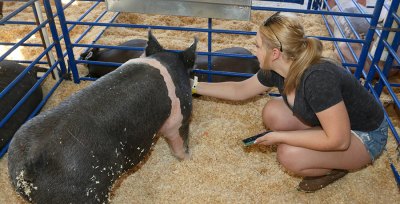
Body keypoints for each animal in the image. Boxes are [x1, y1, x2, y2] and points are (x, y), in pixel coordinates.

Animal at [7, 30, 198, 204]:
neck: (164, 61)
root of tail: (30, 162)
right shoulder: (179, 114)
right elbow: (179, 140)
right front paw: (187, 159)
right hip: (83, 191)